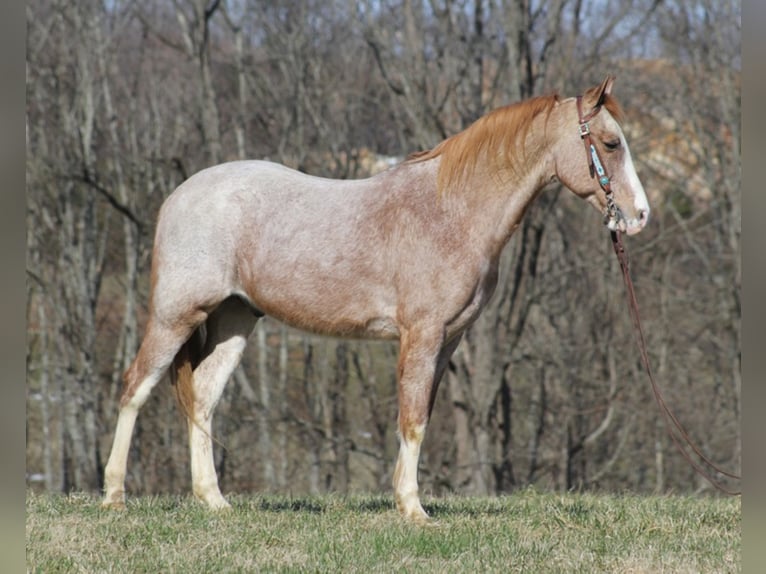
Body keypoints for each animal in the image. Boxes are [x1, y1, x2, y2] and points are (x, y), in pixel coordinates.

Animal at [102, 75, 652, 520]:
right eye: (610, 142)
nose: (640, 215)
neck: (451, 212)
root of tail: (179, 195)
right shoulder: (422, 334)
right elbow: (412, 419)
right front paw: (413, 510)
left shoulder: (448, 340)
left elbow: (420, 416)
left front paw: (404, 500)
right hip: (175, 316)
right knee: (135, 388)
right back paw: (114, 497)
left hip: (234, 320)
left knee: (202, 397)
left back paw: (214, 501)